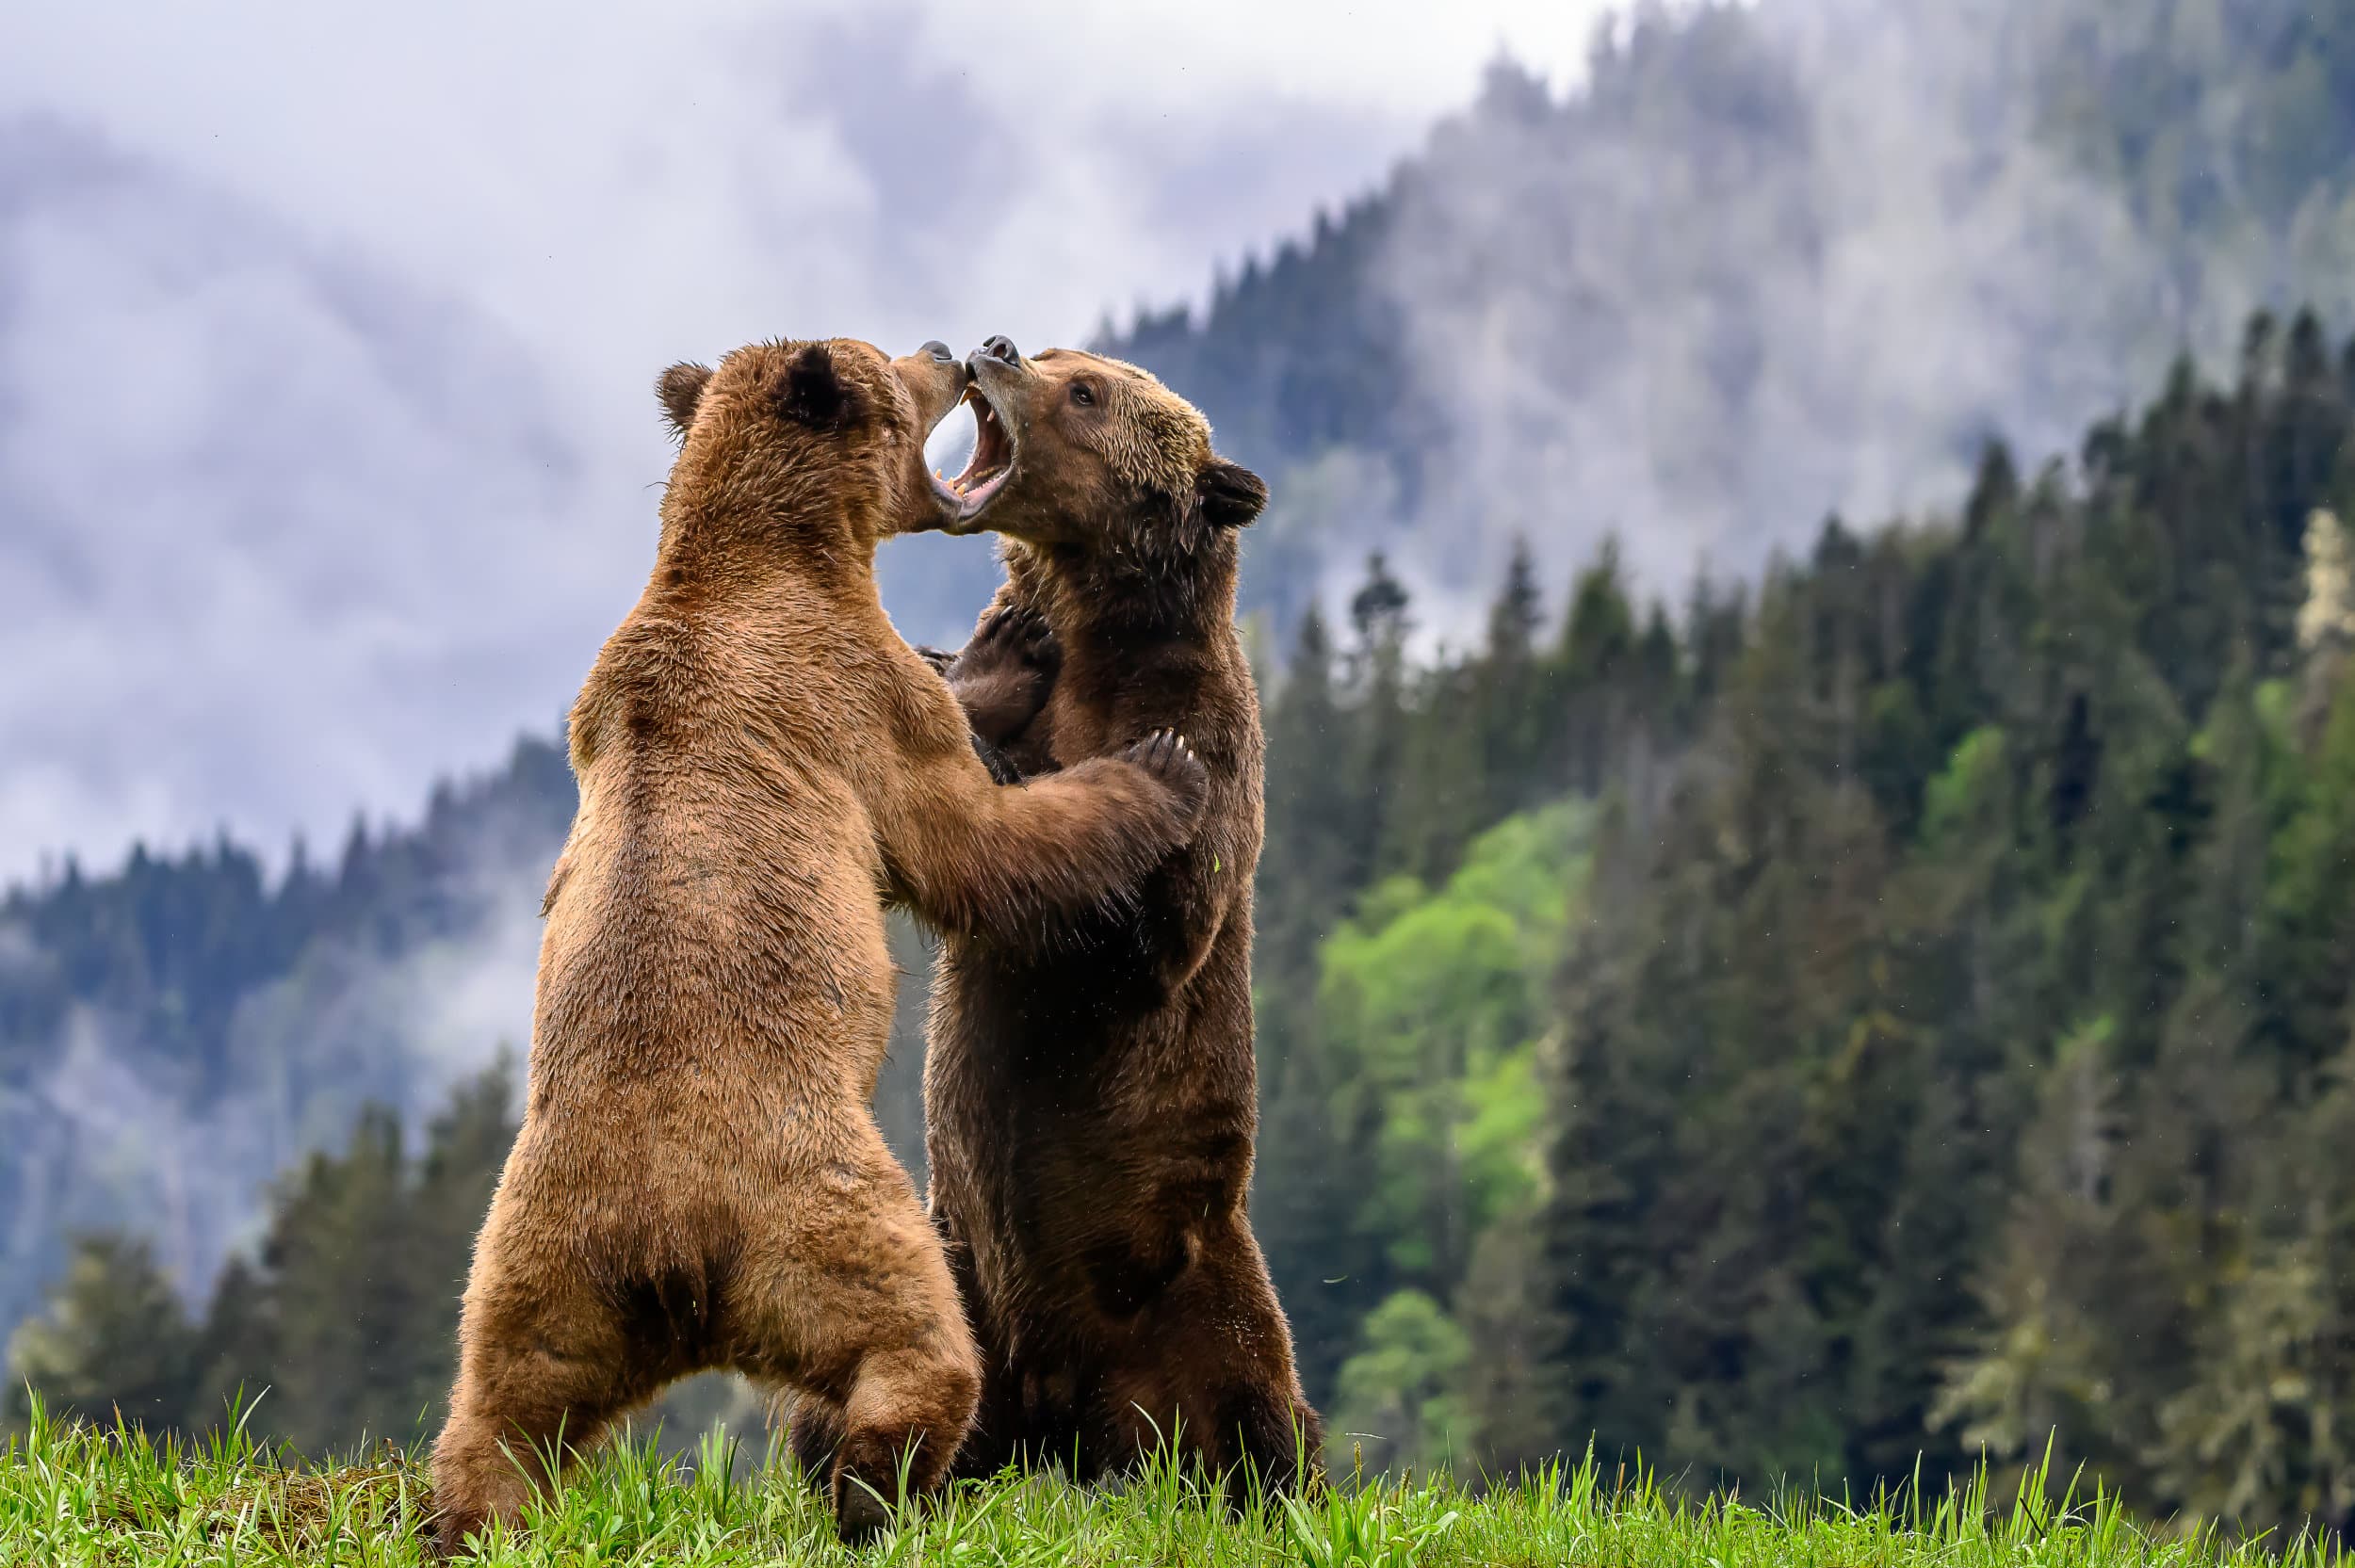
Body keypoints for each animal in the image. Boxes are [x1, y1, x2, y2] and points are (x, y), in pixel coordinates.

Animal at [428, 336, 1210, 1553]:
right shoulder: (852, 691)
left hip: (530, 1263)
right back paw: (879, 1484)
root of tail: (669, 1256)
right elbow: (967, 833)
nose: (949, 348)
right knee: (911, 1332)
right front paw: (1149, 757)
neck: (773, 557)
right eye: (897, 372)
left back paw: (463, 1520)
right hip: (822, 1203)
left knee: (502, 1411)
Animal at [887, 334, 1325, 1497]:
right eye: (1054, 352)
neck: (1099, 641)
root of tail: (1055, 1422)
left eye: (1086, 389)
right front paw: (986, 662)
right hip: (954, 1262)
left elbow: (1141, 929)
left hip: (1193, 1289)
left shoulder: (1209, 743)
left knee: (1255, 1412)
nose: (995, 347)